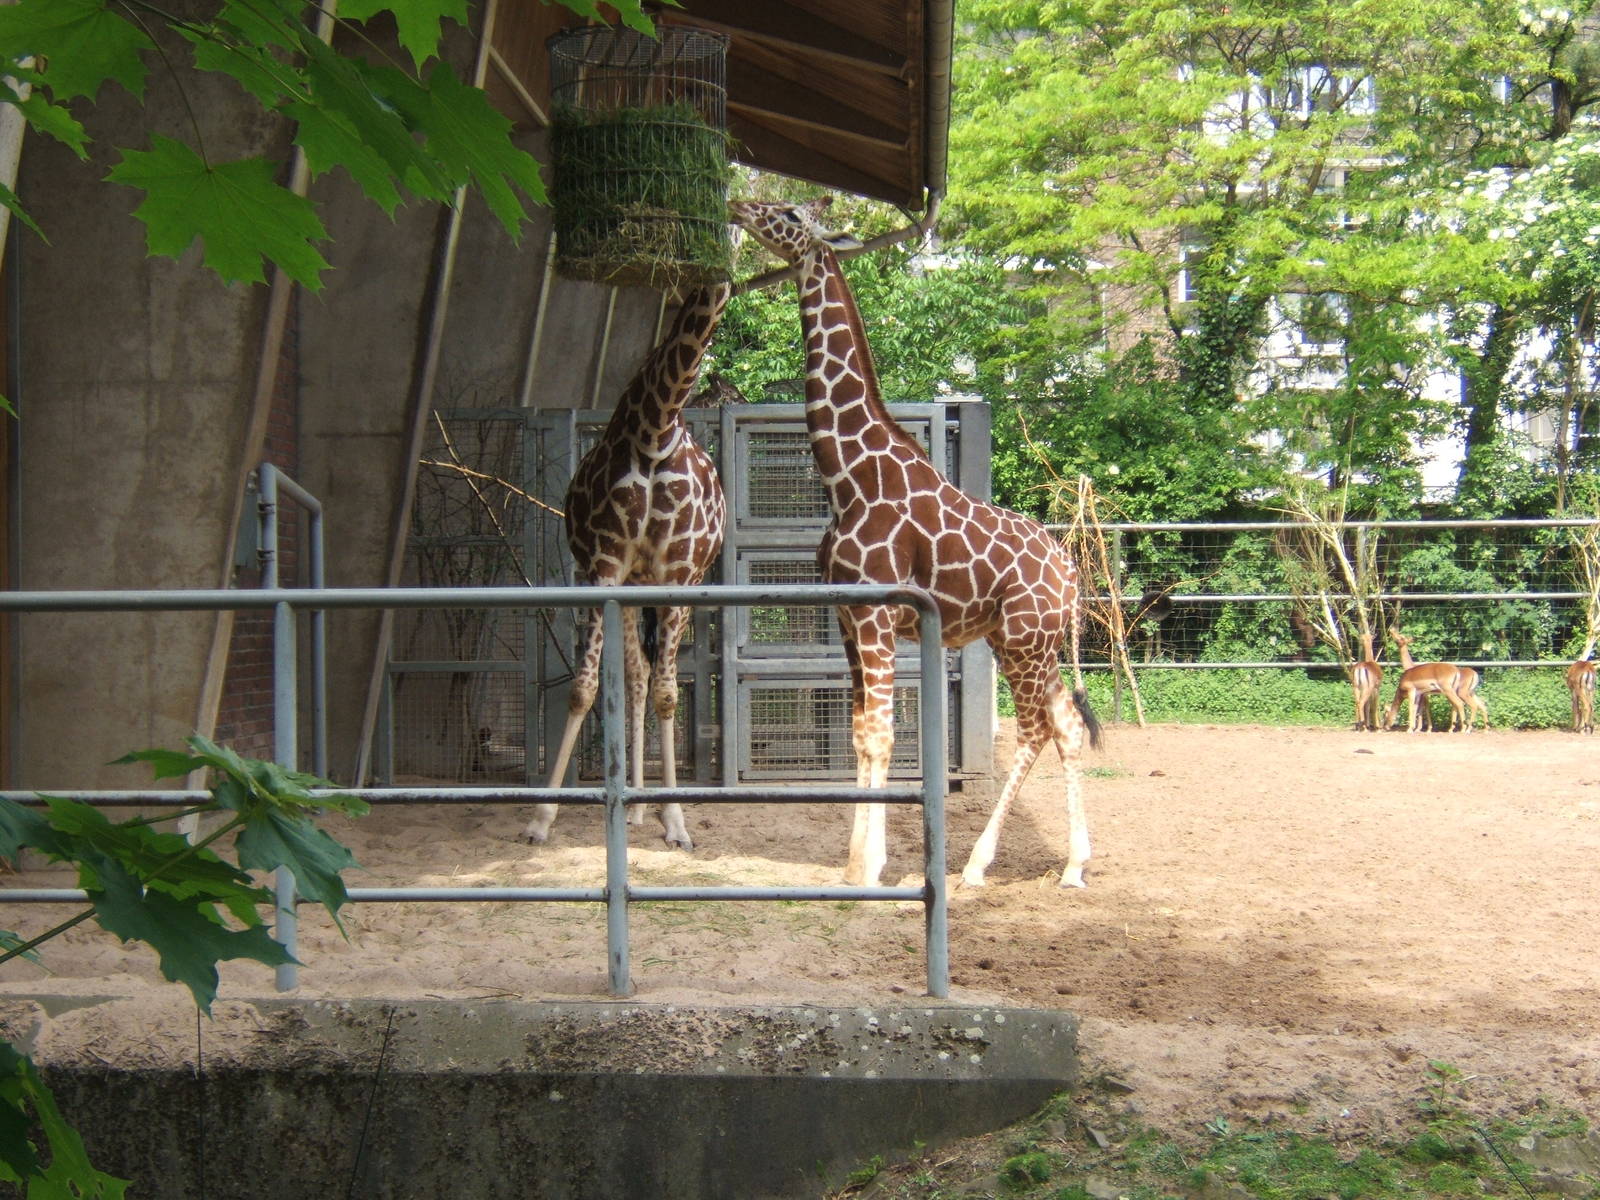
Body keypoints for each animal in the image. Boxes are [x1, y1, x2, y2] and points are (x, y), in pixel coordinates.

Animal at [522, 283, 731, 850]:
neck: (654, 429)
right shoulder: (604, 566)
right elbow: (584, 688)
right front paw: (542, 817)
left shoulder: (678, 574)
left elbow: (668, 694)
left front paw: (677, 821)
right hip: (633, 589)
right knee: (634, 675)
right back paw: (635, 806)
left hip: (671, 588)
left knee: (648, 678)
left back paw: (647, 806)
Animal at [730, 197, 1103, 889]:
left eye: (790, 213)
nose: (741, 206)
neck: (847, 477)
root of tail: (1070, 573)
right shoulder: (849, 618)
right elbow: (858, 734)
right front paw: (858, 863)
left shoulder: (877, 616)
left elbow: (880, 737)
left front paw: (869, 868)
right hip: (1025, 643)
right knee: (1066, 723)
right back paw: (1072, 866)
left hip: (1023, 641)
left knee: (1037, 728)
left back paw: (979, 866)